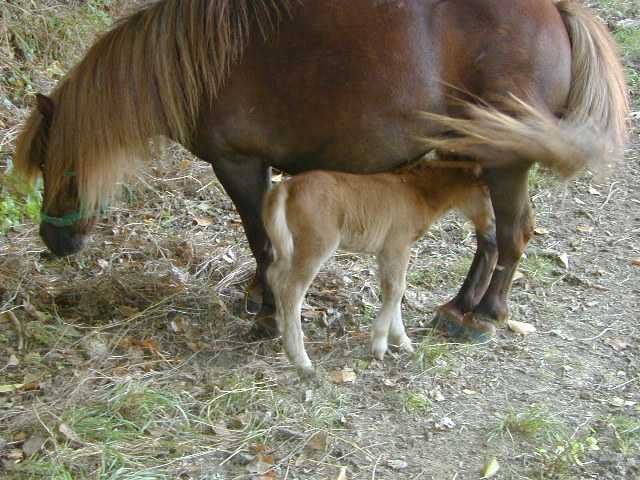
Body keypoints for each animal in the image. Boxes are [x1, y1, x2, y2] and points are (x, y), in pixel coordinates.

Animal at [12, 0, 628, 340]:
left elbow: (261, 241)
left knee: (515, 233)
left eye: (61, 168)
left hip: (504, 163)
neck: (196, 63)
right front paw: (262, 298)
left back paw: (486, 316)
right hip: (473, 157)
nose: (53, 242)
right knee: (491, 236)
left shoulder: (239, 165)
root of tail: (556, 12)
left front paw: (267, 314)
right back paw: (459, 309)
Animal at [262, 159, 492, 376]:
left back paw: (282, 327)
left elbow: (392, 289)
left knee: (274, 275)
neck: (417, 193)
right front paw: (381, 344)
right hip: (315, 246)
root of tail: (287, 187)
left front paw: (401, 340)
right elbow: (397, 289)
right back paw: (301, 360)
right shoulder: (397, 247)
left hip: (287, 247)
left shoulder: (385, 253)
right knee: (292, 291)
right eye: (485, 191)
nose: (491, 228)